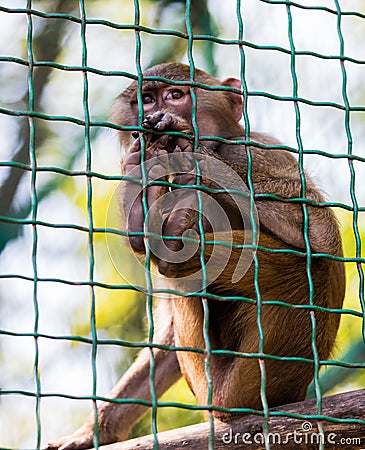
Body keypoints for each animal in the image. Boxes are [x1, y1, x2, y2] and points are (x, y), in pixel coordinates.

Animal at [46, 63, 344, 450]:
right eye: (146, 98)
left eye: (175, 95)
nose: (155, 114)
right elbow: (169, 333)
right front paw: (94, 431)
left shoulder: (260, 151)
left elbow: (320, 235)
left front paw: (189, 146)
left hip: (242, 377)